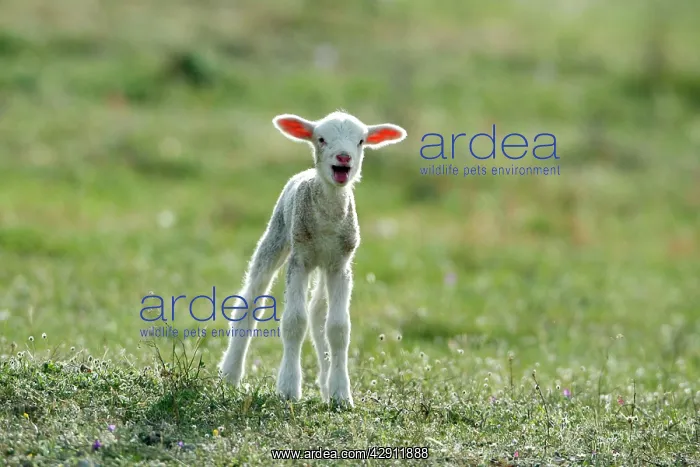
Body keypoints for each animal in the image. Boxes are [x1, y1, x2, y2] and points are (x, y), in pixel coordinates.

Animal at [218, 111, 407, 407]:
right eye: (321, 138)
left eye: (361, 141)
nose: (344, 157)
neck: (328, 218)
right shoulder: (300, 260)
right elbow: (294, 322)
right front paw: (288, 389)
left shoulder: (340, 265)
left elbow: (338, 328)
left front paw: (341, 395)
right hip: (277, 236)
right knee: (250, 300)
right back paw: (230, 374)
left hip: (324, 264)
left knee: (319, 313)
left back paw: (327, 385)